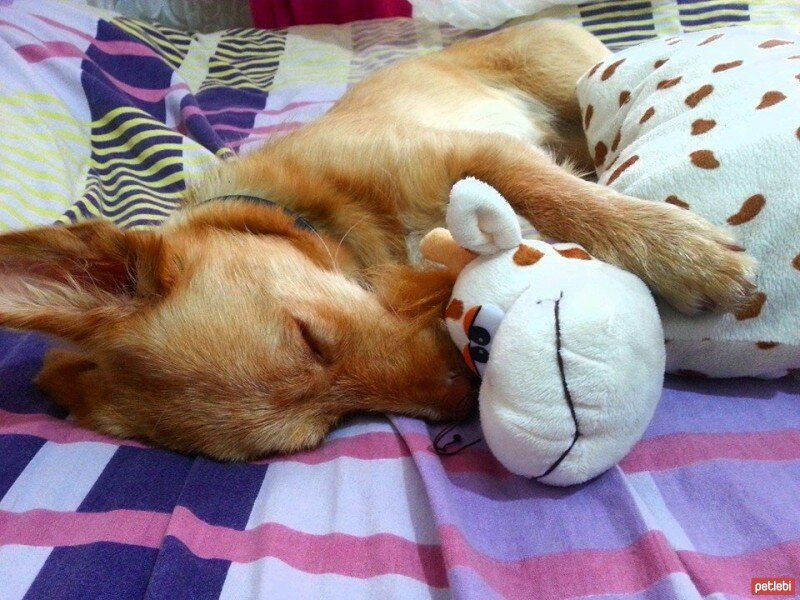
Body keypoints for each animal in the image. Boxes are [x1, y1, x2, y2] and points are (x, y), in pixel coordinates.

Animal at [0, 18, 752, 460]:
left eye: (307, 334)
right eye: (330, 426)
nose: (464, 391)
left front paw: (683, 253)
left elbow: (556, 195)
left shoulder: (475, 153)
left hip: (573, 80)